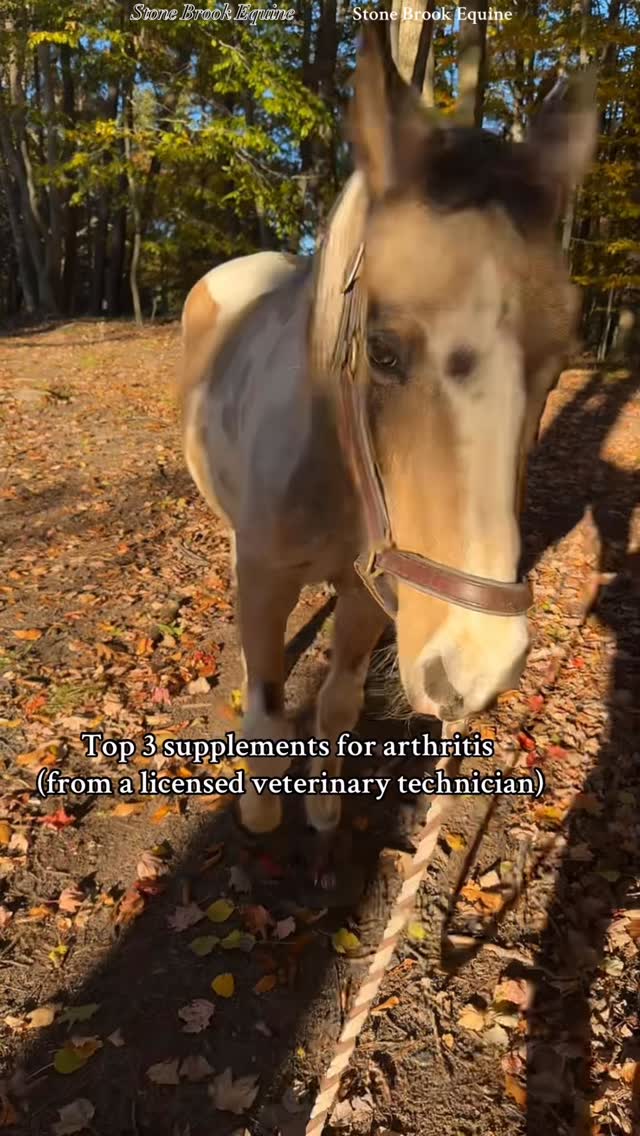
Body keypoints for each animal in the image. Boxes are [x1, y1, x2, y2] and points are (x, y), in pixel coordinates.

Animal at [179, 25, 597, 870]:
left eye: (561, 358)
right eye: (382, 350)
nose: (476, 665)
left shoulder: (373, 585)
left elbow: (337, 704)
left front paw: (324, 811)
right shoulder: (265, 578)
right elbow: (267, 711)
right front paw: (260, 812)